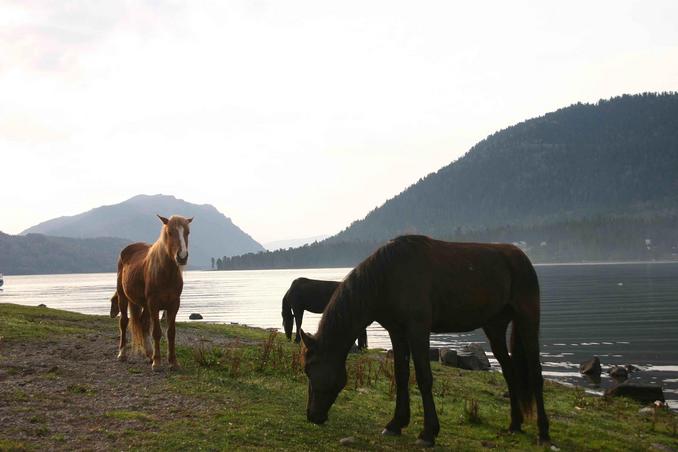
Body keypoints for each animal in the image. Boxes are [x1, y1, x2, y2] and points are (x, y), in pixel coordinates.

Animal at [111, 215, 191, 370]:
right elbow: (157, 332)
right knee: (124, 322)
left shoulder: (174, 305)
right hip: (123, 297)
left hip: (145, 305)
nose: (182, 256)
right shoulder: (154, 304)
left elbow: (171, 333)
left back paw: (149, 354)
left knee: (143, 323)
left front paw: (173, 362)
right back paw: (122, 354)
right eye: (169, 232)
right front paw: (157, 362)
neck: (166, 274)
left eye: (187, 232)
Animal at [302, 235, 552, 446]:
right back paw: (515, 424)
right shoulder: (397, 332)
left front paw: (428, 433)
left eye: (310, 369)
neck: (387, 277)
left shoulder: (418, 330)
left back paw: (543, 433)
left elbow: (424, 378)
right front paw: (396, 423)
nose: (312, 416)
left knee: (535, 374)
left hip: (527, 320)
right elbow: (401, 375)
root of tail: (521, 257)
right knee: (510, 373)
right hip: (495, 327)